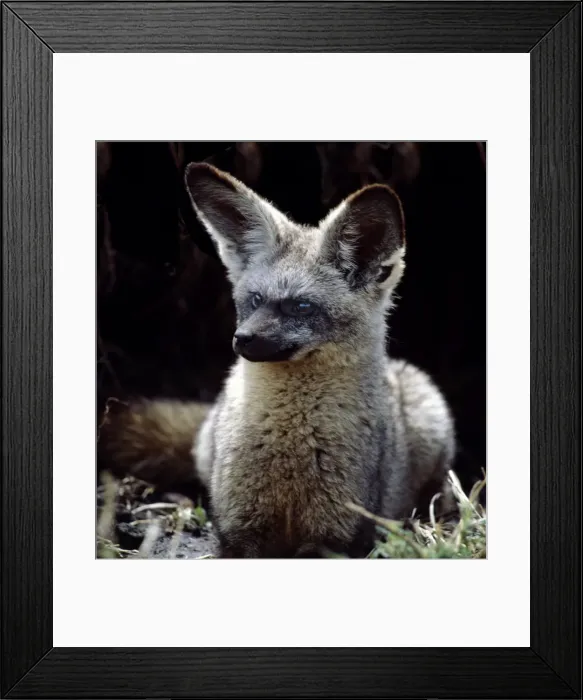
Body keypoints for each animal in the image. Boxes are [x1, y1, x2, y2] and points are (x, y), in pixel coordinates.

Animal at [98, 162, 455, 558]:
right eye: (255, 300)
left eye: (300, 306)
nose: (242, 339)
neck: (289, 451)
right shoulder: (238, 535)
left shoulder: (334, 539)